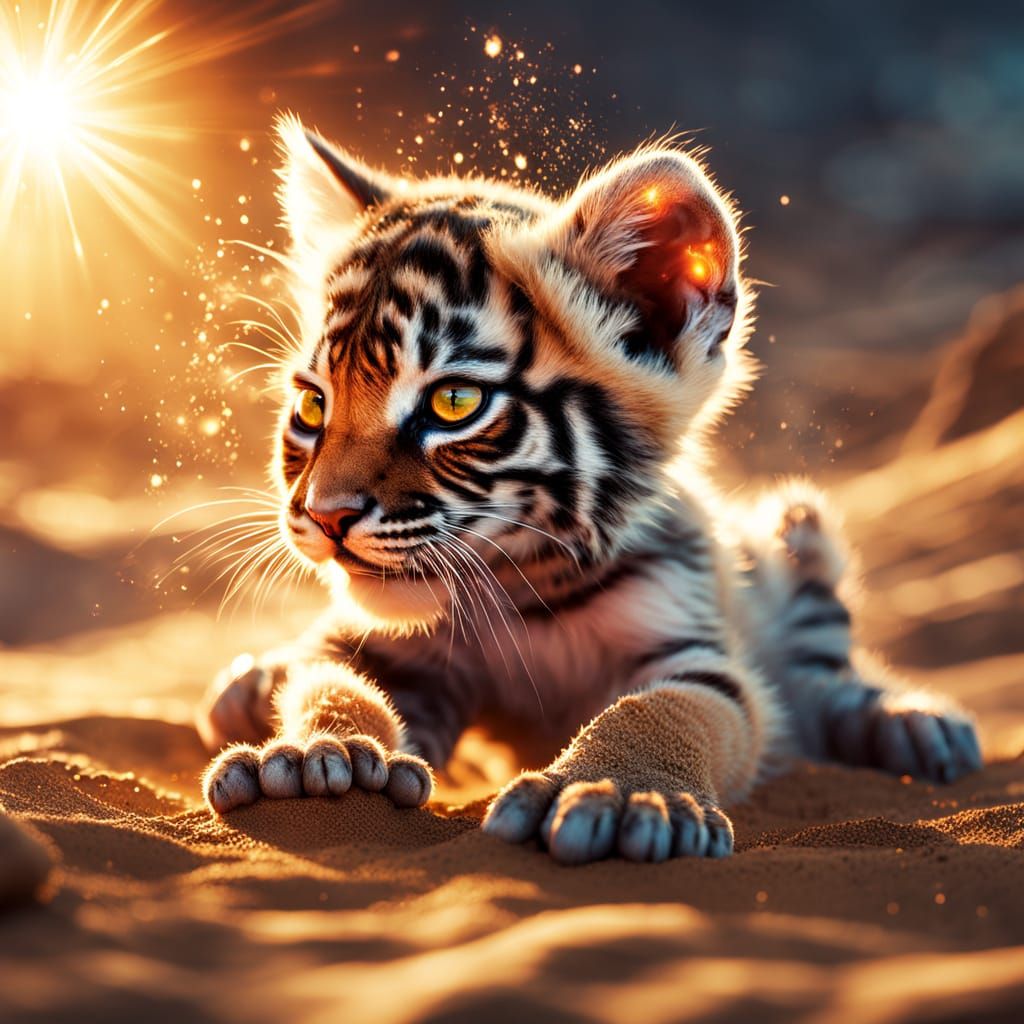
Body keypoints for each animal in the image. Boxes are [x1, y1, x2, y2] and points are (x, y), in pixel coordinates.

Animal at [197, 114, 982, 864]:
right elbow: (330, 681)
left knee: (826, 672)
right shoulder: (377, 642)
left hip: (801, 533)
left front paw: (618, 794)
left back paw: (918, 726)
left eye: (454, 402)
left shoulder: (693, 648)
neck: (523, 589)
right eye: (312, 406)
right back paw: (249, 687)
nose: (324, 516)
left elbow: (662, 710)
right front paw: (316, 753)